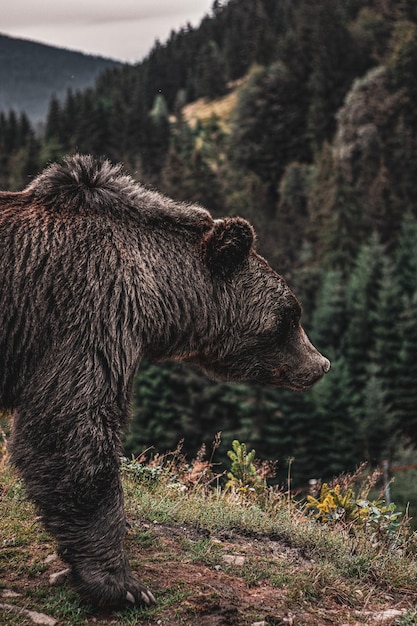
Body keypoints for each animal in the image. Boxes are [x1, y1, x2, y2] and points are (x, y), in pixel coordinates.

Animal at [0, 154, 330, 608]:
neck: (157, 297)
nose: (321, 364)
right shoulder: (88, 314)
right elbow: (73, 427)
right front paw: (121, 584)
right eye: (290, 316)